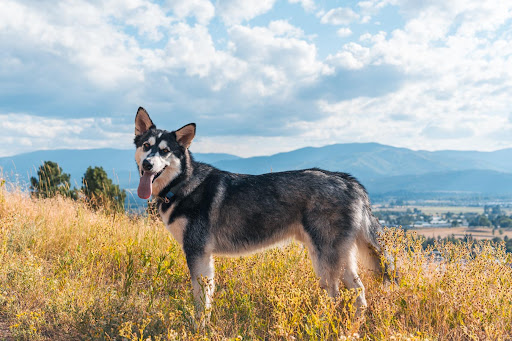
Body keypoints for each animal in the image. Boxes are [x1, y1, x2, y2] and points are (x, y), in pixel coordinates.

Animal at [132, 107, 392, 318]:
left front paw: (199, 328)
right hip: (337, 257)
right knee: (359, 292)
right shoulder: (204, 255)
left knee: (337, 296)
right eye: (146, 146)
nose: (147, 164)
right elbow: (207, 297)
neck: (182, 184)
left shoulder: (196, 252)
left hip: (325, 260)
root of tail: (348, 181)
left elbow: (200, 300)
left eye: (165, 151)